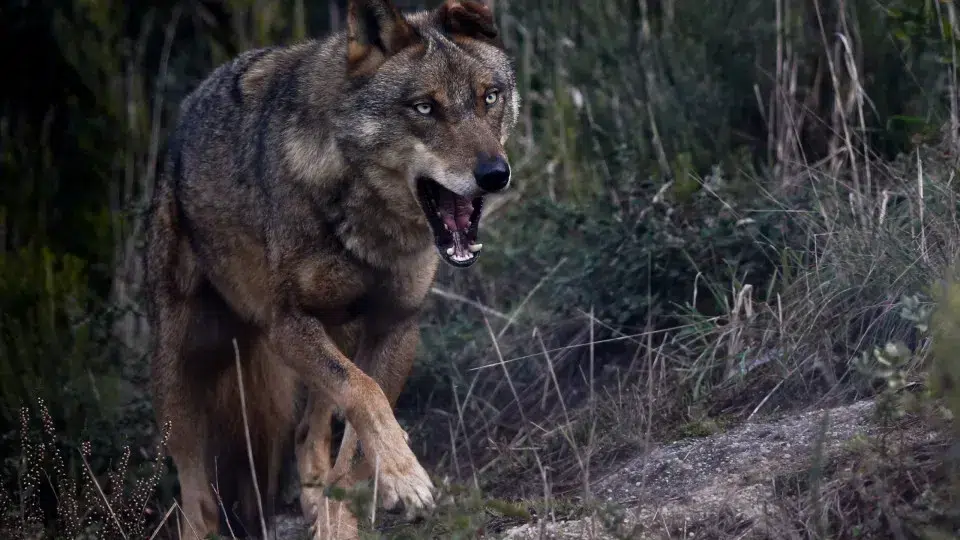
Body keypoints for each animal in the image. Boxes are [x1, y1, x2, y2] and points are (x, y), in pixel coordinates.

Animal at [144, 0, 519, 538]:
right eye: (425, 108)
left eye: (490, 97)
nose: (494, 174)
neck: (368, 225)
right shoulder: (287, 326)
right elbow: (363, 394)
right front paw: (404, 478)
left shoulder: (396, 326)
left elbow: (357, 434)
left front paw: (351, 511)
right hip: (182, 363)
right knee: (195, 492)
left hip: (335, 333)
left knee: (307, 430)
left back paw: (314, 502)